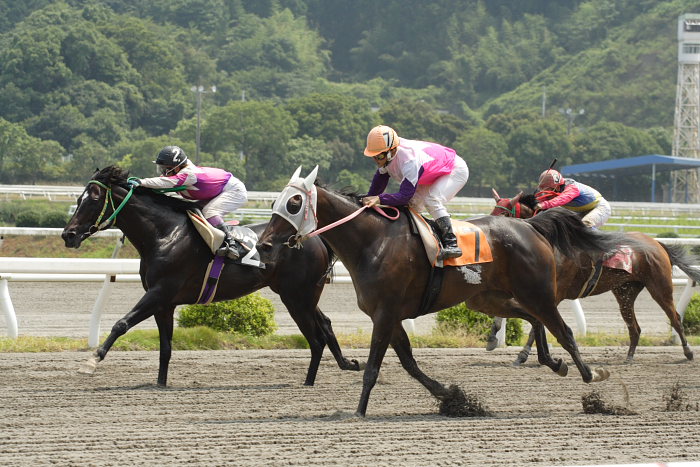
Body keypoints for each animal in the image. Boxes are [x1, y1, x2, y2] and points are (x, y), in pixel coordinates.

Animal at [60, 167, 360, 388]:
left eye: (93, 199)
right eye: (77, 199)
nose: (68, 235)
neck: (163, 235)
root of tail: (313, 237)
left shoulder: (159, 292)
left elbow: (121, 324)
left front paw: (91, 362)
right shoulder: (164, 302)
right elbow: (166, 346)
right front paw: (160, 383)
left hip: (297, 297)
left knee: (316, 338)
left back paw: (309, 382)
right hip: (300, 294)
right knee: (325, 325)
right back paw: (346, 364)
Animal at [256, 168, 640, 416]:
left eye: (293, 204)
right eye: (275, 203)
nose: (263, 245)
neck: (372, 242)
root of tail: (530, 225)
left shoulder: (385, 313)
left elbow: (374, 366)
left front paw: (359, 411)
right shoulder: (391, 315)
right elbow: (409, 363)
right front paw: (451, 395)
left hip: (539, 292)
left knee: (564, 330)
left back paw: (592, 375)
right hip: (490, 298)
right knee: (535, 321)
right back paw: (553, 363)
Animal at [490, 188, 696, 364]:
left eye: (505, 214)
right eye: (493, 211)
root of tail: (657, 243)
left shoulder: (552, 294)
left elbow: (537, 323)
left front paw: (523, 355)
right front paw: (493, 337)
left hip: (659, 286)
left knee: (675, 318)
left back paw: (688, 352)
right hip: (625, 292)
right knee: (635, 327)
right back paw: (629, 357)